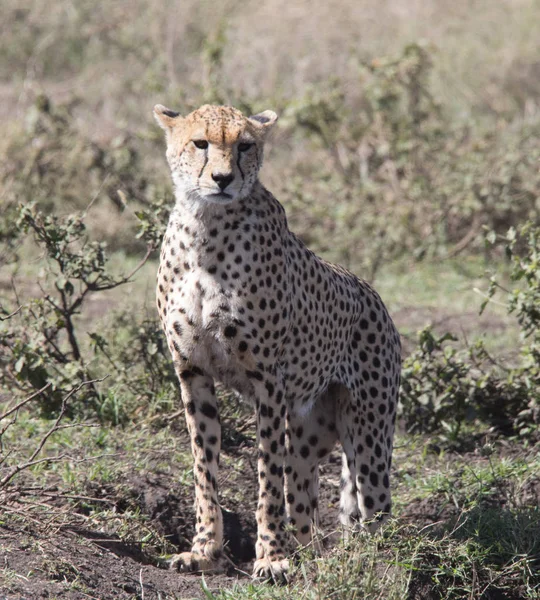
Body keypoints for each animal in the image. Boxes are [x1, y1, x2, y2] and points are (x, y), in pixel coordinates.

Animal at [152, 103, 400, 580]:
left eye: (245, 146)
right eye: (200, 143)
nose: (223, 179)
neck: (206, 228)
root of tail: (373, 294)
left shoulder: (267, 380)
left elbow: (267, 474)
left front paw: (269, 557)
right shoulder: (192, 371)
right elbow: (204, 466)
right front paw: (204, 551)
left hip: (368, 430)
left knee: (374, 505)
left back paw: (368, 562)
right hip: (308, 430)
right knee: (303, 500)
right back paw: (309, 554)